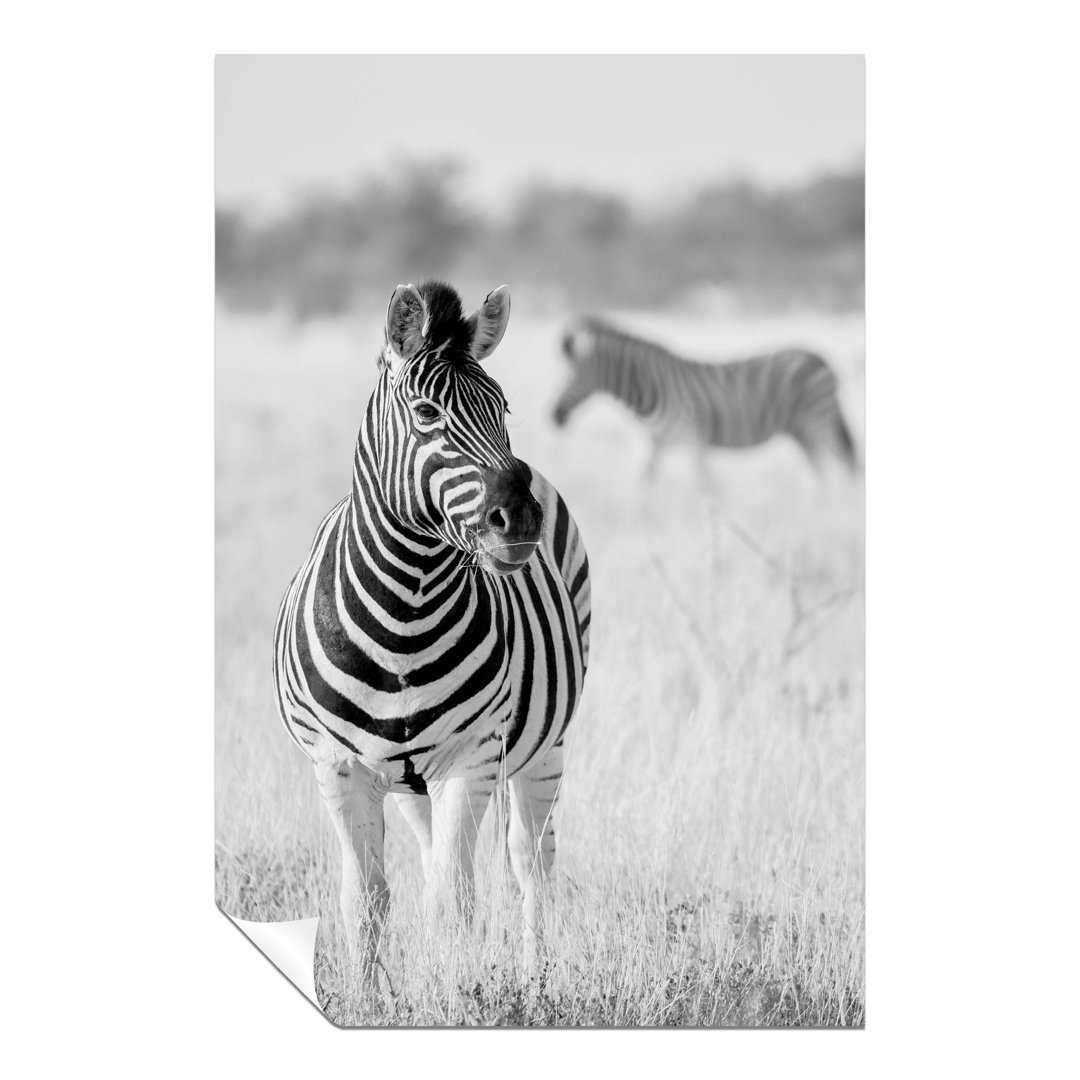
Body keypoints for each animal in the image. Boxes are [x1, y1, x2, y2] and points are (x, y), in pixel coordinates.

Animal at [273, 281, 590, 986]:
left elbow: (454, 901)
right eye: (425, 413)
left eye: (502, 408)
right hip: (411, 779)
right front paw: (370, 999)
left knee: (532, 863)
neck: (405, 611)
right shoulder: (339, 767)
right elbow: (364, 901)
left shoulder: (469, 758)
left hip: (544, 746)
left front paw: (458, 993)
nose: (519, 520)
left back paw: (537, 982)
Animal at [552, 316, 859, 475]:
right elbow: (643, 492)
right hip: (801, 431)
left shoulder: (693, 442)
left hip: (819, 420)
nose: (553, 417)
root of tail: (820, 358)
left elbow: (710, 490)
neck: (649, 388)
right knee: (821, 474)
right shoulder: (650, 446)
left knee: (846, 466)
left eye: (571, 376)